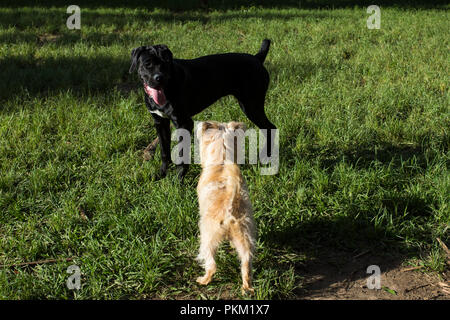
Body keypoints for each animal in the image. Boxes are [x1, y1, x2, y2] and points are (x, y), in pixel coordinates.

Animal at [130, 38, 276, 181]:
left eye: (166, 62)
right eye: (147, 64)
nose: (160, 78)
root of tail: (257, 58)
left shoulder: (183, 123)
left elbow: (182, 155)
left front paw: (178, 180)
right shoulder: (160, 122)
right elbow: (164, 151)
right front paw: (161, 174)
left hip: (252, 106)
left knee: (270, 128)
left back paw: (265, 157)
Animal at [194, 121, 255, 294]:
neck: (221, 161)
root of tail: (229, 210)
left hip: (208, 237)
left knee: (212, 264)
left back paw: (203, 280)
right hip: (244, 236)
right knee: (246, 262)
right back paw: (246, 287)